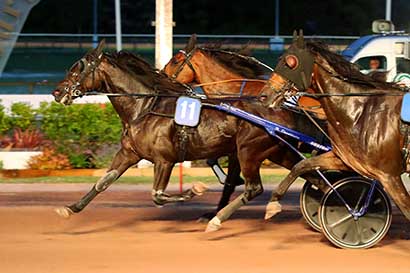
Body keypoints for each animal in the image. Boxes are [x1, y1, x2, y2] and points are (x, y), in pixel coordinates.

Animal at [260, 31, 410, 221]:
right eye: (281, 59)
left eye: (290, 62)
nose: (264, 95)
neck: (362, 112)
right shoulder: (346, 159)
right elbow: (302, 165)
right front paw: (273, 203)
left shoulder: (389, 176)